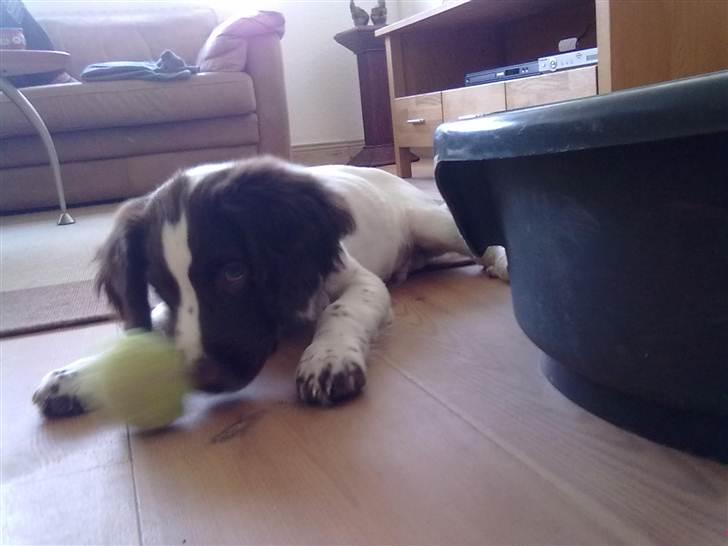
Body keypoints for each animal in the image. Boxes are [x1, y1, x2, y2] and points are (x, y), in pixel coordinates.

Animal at [29, 157, 506, 416]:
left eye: (234, 273)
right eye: (160, 286)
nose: (205, 379)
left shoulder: (359, 281)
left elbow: (339, 311)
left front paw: (328, 358)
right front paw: (81, 375)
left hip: (433, 222)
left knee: (476, 238)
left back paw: (501, 261)